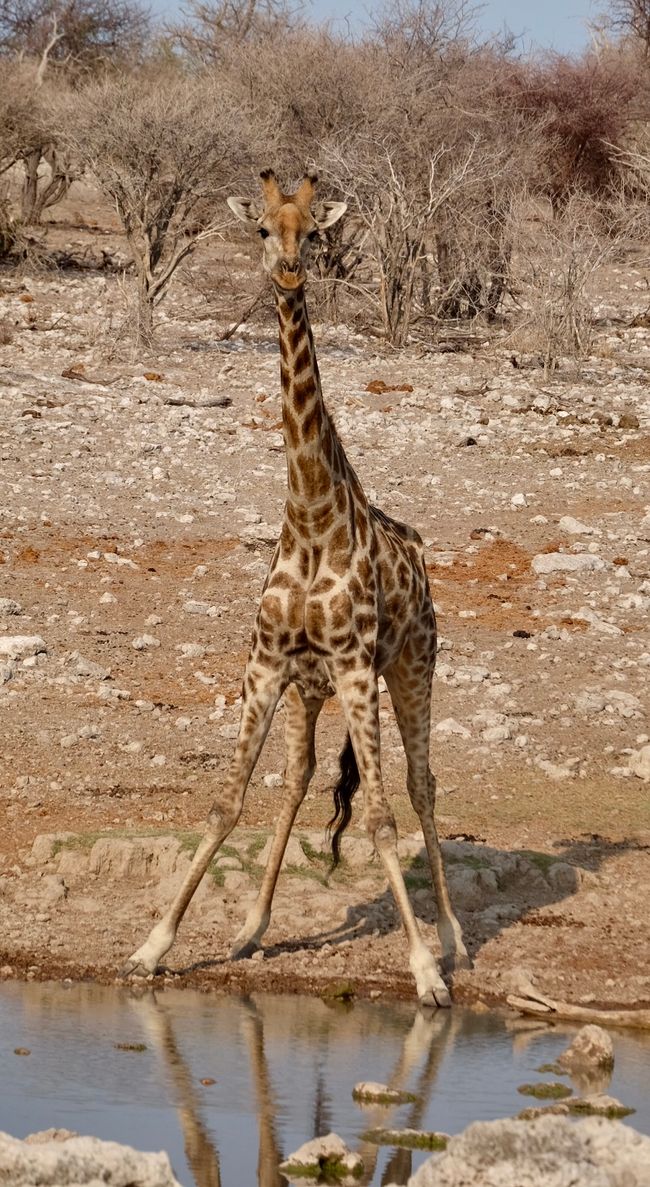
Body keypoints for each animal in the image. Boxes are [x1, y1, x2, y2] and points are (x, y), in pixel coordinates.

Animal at [122, 164, 469, 1001]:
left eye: (314, 232)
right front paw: (152, 946)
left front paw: (423, 970)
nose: (287, 270)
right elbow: (227, 799)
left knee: (421, 784)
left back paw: (452, 937)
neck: (310, 515)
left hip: (412, 667)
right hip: (310, 689)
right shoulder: (266, 662)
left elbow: (379, 816)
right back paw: (253, 924)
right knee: (299, 775)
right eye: (261, 227)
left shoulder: (355, 666)